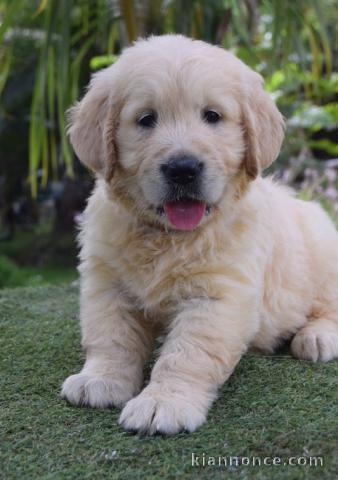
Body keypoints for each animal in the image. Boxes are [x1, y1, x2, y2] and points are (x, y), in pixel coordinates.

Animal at [60, 32, 338, 432]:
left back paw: (317, 337)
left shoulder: (218, 295)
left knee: (328, 305)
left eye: (212, 116)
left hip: (324, 254)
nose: (183, 168)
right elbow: (111, 336)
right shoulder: (106, 283)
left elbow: (187, 353)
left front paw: (163, 402)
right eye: (146, 119)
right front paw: (101, 379)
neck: (167, 236)